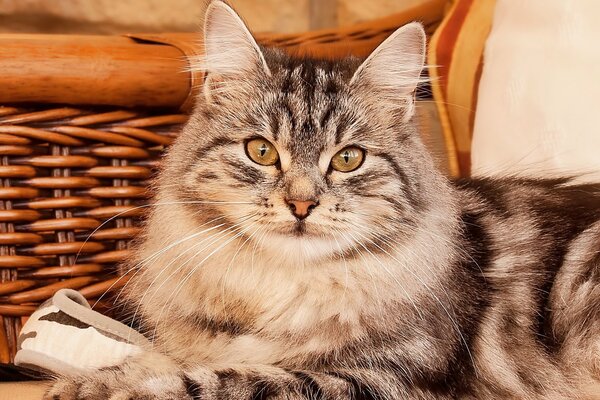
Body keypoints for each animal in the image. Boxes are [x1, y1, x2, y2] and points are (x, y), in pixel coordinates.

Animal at [47, 1, 600, 398]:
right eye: (262, 151)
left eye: (349, 158)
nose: (301, 204)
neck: (285, 289)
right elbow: (161, 358)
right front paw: (96, 375)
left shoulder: (390, 378)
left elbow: (232, 379)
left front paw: (102, 389)